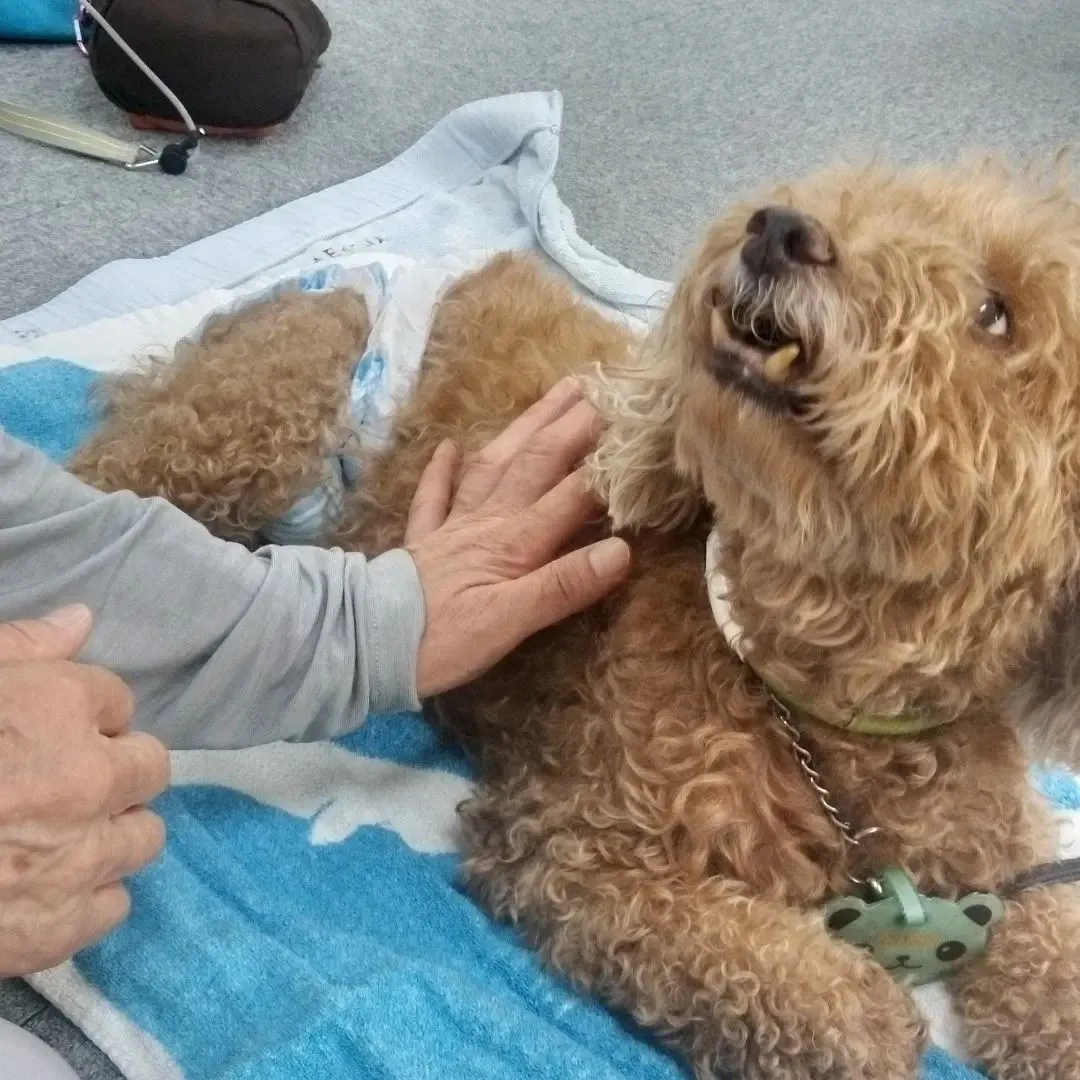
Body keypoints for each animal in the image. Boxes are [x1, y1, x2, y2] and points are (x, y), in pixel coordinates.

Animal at [71, 159, 1080, 1080]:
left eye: (997, 313)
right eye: (849, 196)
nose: (779, 228)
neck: (820, 696)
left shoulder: (1006, 853)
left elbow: (1049, 946)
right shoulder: (576, 847)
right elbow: (787, 984)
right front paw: (865, 1016)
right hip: (269, 399)